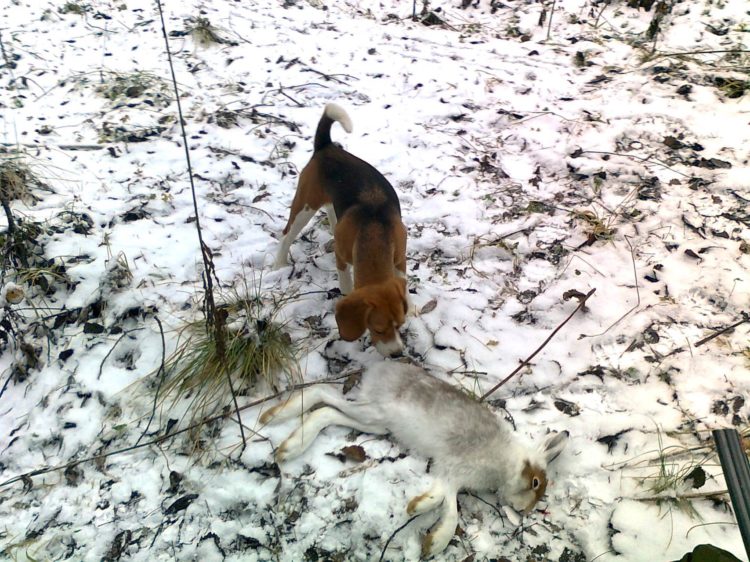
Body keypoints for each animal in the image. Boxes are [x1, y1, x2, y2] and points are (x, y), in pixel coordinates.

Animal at [274, 104, 408, 356]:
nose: (396, 353)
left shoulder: (400, 258)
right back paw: (278, 264)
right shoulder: (343, 259)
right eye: (378, 329)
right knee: (287, 234)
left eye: (400, 325)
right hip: (305, 205)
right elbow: (346, 286)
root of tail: (326, 146)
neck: (374, 231)